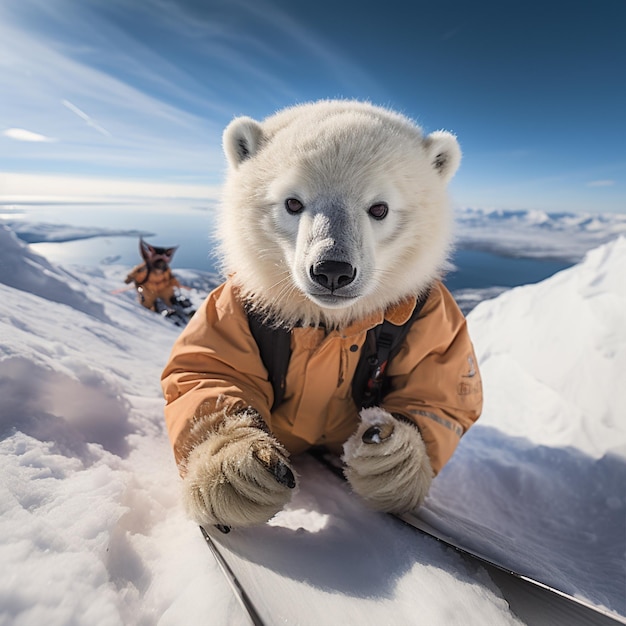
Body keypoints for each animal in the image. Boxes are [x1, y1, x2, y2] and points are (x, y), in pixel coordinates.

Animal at [161, 101, 482, 528]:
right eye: (293, 202)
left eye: (379, 208)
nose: (332, 270)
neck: (331, 321)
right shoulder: (235, 304)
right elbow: (207, 371)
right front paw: (237, 473)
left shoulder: (431, 312)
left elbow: (439, 393)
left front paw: (390, 460)